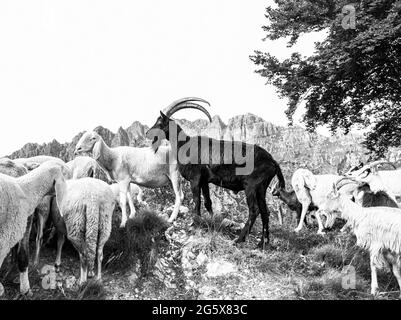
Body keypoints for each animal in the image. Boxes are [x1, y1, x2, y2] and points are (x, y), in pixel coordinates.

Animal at [145, 97, 286, 248]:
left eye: (160, 121)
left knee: (254, 210)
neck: (184, 145)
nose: (147, 133)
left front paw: (196, 223)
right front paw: (212, 223)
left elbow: (197, 201)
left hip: (251, 186)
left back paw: (239, 239)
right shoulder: (204, 181)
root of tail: (273, 161)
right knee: (265, 211)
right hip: (261, 188)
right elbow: (208, 202)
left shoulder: (195, 179)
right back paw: (263, 243)